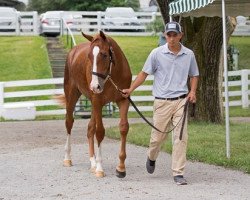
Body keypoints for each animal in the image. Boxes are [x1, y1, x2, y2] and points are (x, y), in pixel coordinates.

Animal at [60, 30, 132, 177]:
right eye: (89, 56)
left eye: (104, 55)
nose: (94, 86)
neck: (112, 76)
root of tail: (73, 52)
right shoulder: (98, 101)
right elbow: (100, 132)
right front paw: (100, 168)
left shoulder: (123, 100)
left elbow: (123, 128)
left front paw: (121, 168)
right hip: (72, 96)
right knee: (69, 122)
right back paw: (68, 158)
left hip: (93, 104)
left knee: (90, 128)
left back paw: (92, 163)